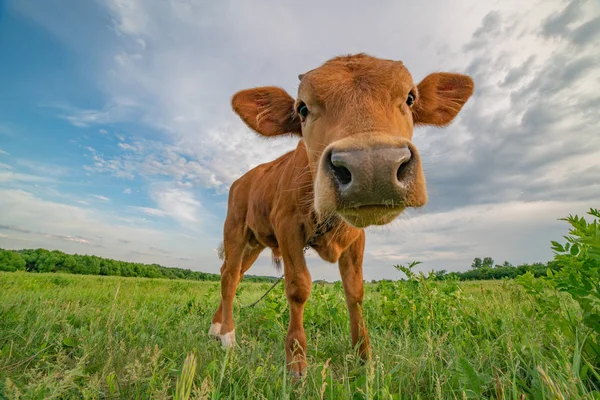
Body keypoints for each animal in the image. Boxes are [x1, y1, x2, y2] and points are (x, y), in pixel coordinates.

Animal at [210, 52, 474, 376]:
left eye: (410, 98)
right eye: (302, 108)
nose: (372, 165)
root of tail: (243, 179)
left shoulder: (356, 238)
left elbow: (355, 291)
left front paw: (364, 357)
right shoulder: (287, 227)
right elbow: (298, 286)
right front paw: (296, 363)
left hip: (255, 242)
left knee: (231, 274)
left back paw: (216, 327)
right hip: (235, 231)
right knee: (229, 276)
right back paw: (227, 336)